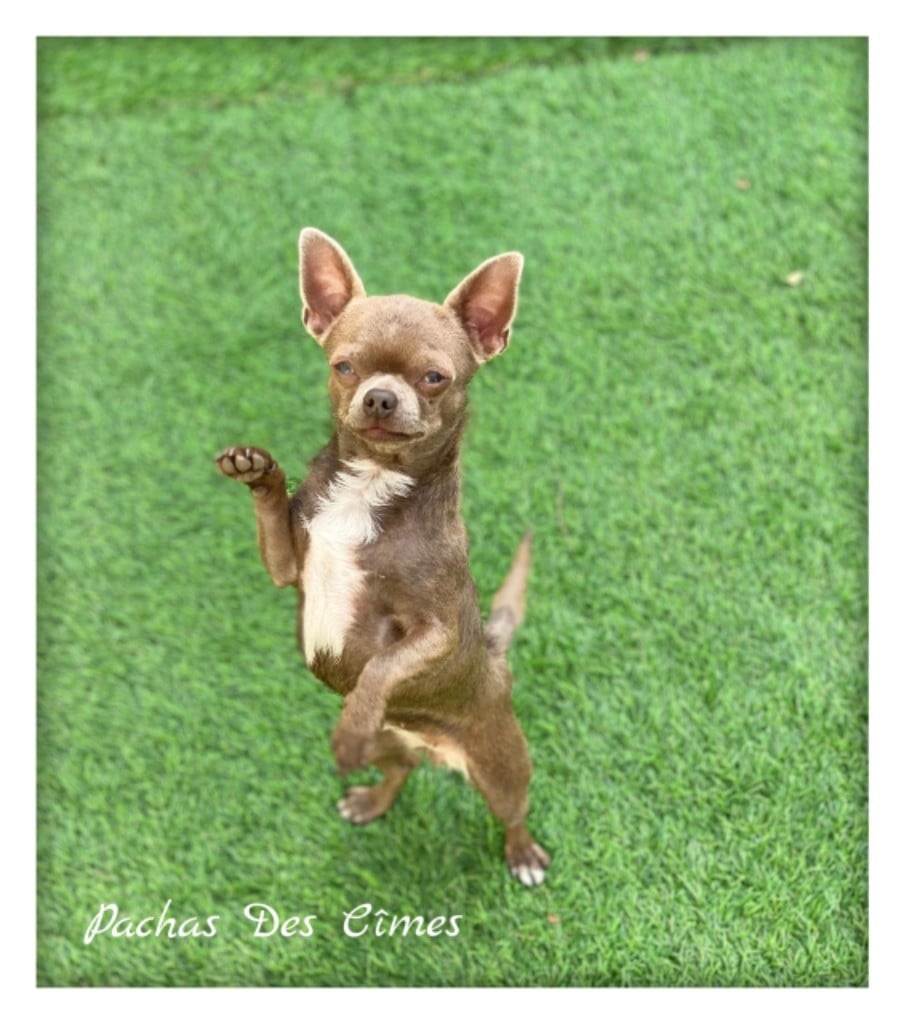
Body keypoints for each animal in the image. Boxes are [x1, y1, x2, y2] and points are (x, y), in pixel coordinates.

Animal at [216, 228, 549, 885]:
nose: (379, 398)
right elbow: (275, 513)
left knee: (512, 812)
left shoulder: (435, 630)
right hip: (392, 742)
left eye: (434, 378)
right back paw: (372, 799)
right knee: (402, 769)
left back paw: (523, 855)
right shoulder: (289, 566)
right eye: (343, 367)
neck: (371, 485)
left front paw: (349, 726)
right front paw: (258, 470)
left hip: (501, 768)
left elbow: (382, 666)